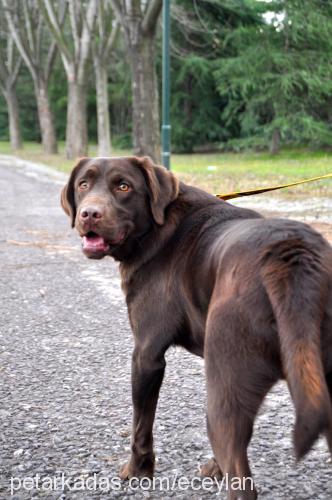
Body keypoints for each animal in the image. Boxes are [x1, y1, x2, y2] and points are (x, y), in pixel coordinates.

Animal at [61, 155, 332, 496]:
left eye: (124, 186)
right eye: (84, 184)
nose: (89, 214)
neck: (157, 228)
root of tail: (292, 259)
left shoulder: (146, 355)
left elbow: (141, 425)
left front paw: (138, 470)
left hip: (225, 381)